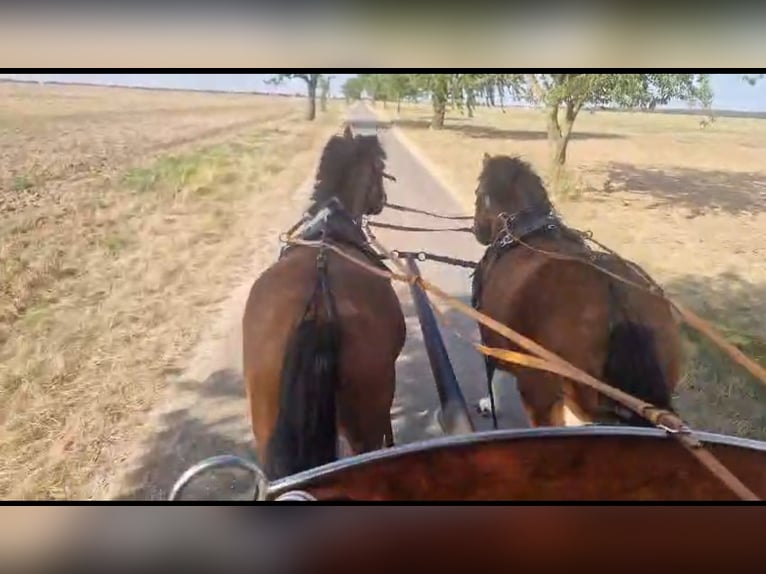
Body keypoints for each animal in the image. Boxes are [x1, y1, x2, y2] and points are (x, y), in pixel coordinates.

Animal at [474, 155, 684, 430]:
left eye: (478, 191)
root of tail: (615, 295)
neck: (524, 230)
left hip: (543, 393)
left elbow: (493, 372)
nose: (477, 230)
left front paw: (488, 404)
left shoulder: (491, 333)